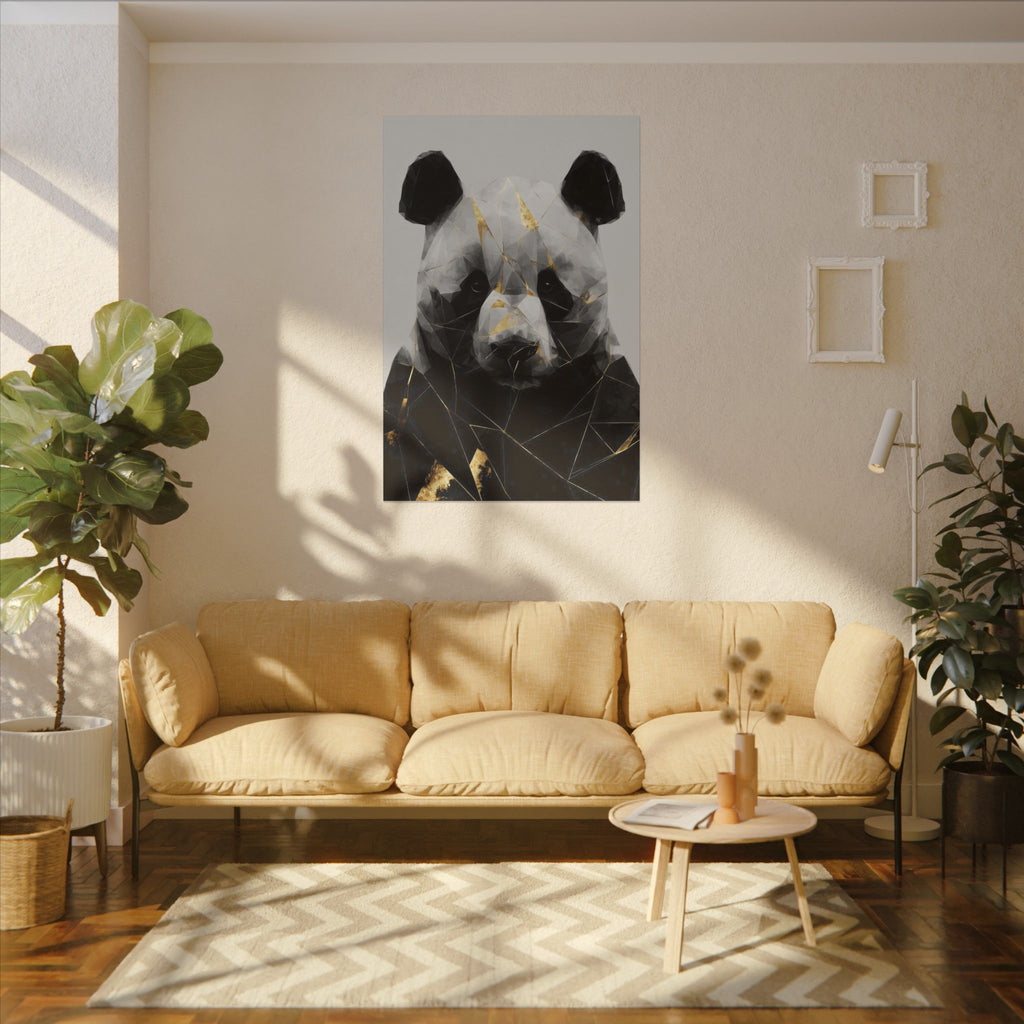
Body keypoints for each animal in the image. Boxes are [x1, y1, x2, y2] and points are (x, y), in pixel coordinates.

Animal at [384, 150, 638, 501]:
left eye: (549, 285)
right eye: (475, 285)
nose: (514, 347)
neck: (513, 400)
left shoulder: (605, 397)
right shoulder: (420, 390)